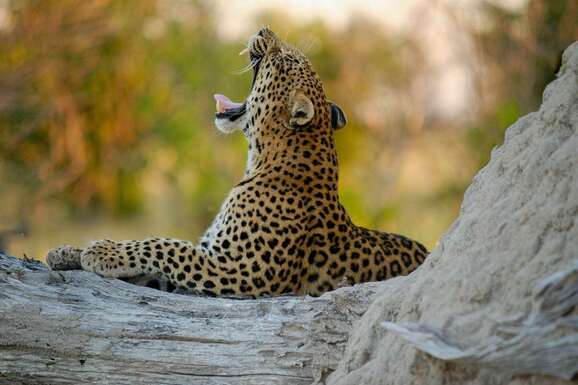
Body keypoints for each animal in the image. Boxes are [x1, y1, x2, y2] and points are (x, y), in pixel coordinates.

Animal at [46, 27, 428, 296]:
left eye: (286, 60)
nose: (264, 29)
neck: (262, 158)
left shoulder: (241, 271)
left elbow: (167, 245)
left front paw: (101, 250)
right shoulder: (208, 259)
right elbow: (156, 261)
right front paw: (68, 252)